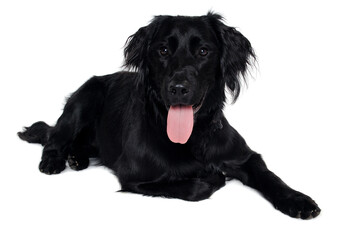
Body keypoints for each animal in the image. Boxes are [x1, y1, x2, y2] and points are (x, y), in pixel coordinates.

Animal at [17, 12, 320, 219]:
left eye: (203, 51)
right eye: (162, 50)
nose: (178, 88)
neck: (194, 137)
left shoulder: (246, 157)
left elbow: (270, 176)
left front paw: (298, 200)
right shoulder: (135, 176)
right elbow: (193, 186)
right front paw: (212, 177)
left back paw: (77, 158)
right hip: (84, 99)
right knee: (54, 137)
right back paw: (55, 160)